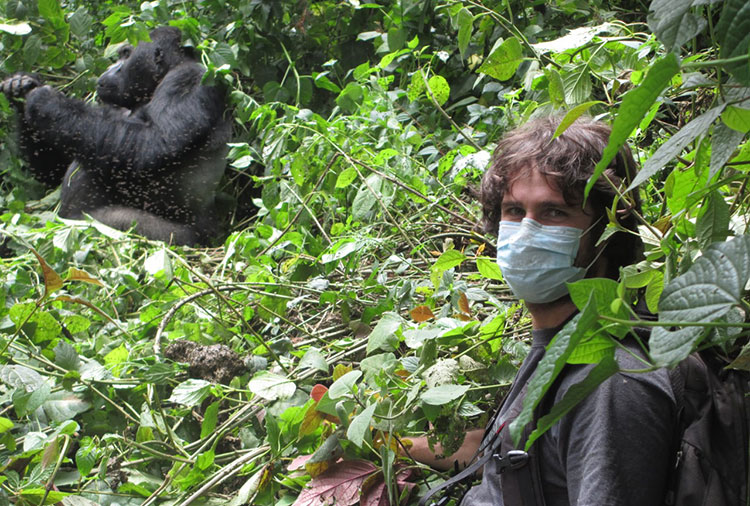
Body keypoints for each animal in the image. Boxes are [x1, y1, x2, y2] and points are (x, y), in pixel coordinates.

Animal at [0, 27, 229, 245]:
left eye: (126, 54)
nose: (109, 70)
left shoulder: (188, 77)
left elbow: (154, 144)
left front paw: (46, 102)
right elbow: (53, 172)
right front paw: (21, 84)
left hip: (179, 240)